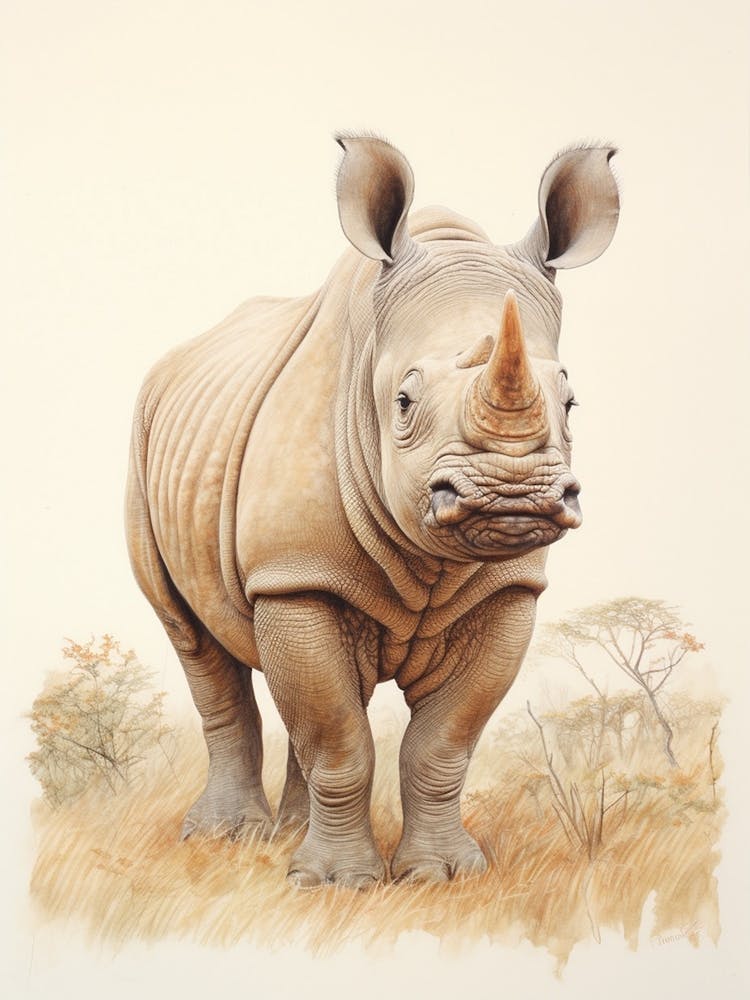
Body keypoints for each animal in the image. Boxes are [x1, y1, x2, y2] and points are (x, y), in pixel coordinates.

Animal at [126, 135, 619, 887]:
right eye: (404, 402)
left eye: (571, 402)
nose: (511, 495)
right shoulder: (293, 573)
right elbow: (338, 740)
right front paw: (334, 885)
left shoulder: (509, 589)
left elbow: (439, 744)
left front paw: (443, 875)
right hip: (145, 441)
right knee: (194, 639)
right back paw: (227, 840)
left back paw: (289, 836)